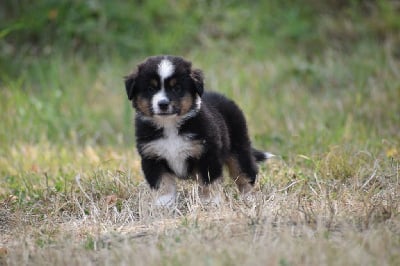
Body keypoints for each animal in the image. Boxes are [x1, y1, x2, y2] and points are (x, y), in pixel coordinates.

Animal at [125, 55, 274, 206]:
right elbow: (162, 184)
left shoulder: (206, 154)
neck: (170, 125)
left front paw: (210, 201)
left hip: (239, 147)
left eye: (177, 88)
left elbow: (208, 181)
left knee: (244, 173)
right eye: (150, 88)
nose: (163, 104)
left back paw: (249, 198)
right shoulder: (152, 157)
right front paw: (163, 204)